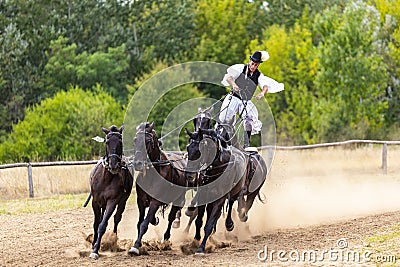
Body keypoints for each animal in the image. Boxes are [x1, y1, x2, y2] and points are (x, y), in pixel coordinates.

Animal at [88, 126, 134, 262]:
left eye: (120, 142)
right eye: (107, 142)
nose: (113, 165)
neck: (106, 178)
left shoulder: (112, 202)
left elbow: (102, 225)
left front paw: (96, 250)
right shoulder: (95, 202)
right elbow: (96, 224)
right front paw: (93, 245)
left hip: (123, 201)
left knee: (117, 218)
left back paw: (113, 242)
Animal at [128, 122, 191, 256]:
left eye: (147, 141)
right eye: (135, 140)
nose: (137, 163)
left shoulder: (155, 202)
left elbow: (144, 224)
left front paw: (135, 246)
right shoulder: (141, 201)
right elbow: (141, 222)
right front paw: (154, 220)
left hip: (178, 198)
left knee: (171, 217)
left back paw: (166, 238)